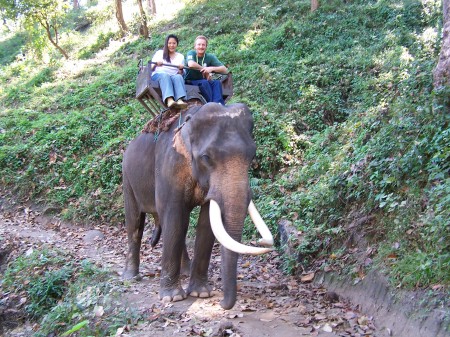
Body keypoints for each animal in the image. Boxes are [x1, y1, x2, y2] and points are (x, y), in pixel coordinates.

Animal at [121, 101, 274, 308]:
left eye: (252, 155)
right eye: (206, 157)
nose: (222, 303)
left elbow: (205, 223)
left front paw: (201, 293)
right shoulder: (169, 165)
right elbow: (175, 216)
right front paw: (173, 297)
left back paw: (185, 271)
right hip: (127, 178)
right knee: (135, 222)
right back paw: (131, 277)